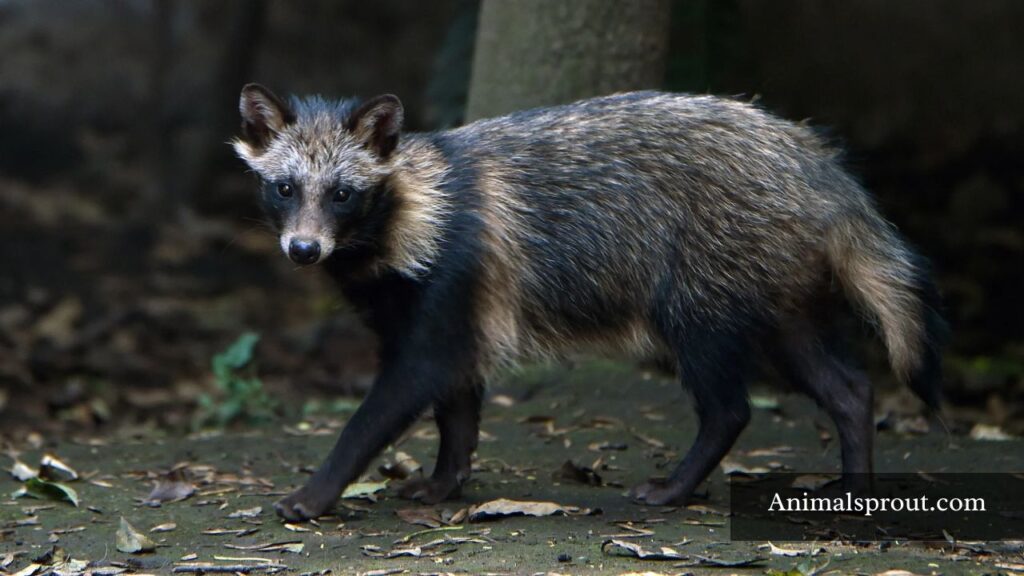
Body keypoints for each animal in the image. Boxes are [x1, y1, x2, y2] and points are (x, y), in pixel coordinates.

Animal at [233, 84, 946, 521]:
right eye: (286, 187)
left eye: (343, 194)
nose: (303, 249)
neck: (408, 211)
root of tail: (809, 158)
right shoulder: (440, 312)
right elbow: (457, 406)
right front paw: (446, 478)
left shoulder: (449, 288)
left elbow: (385, 406)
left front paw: (318, 489)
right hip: (775, 297)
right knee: (848, 386)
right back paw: (854, 477)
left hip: (702, 288)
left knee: (729, 405)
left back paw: (681, 482)